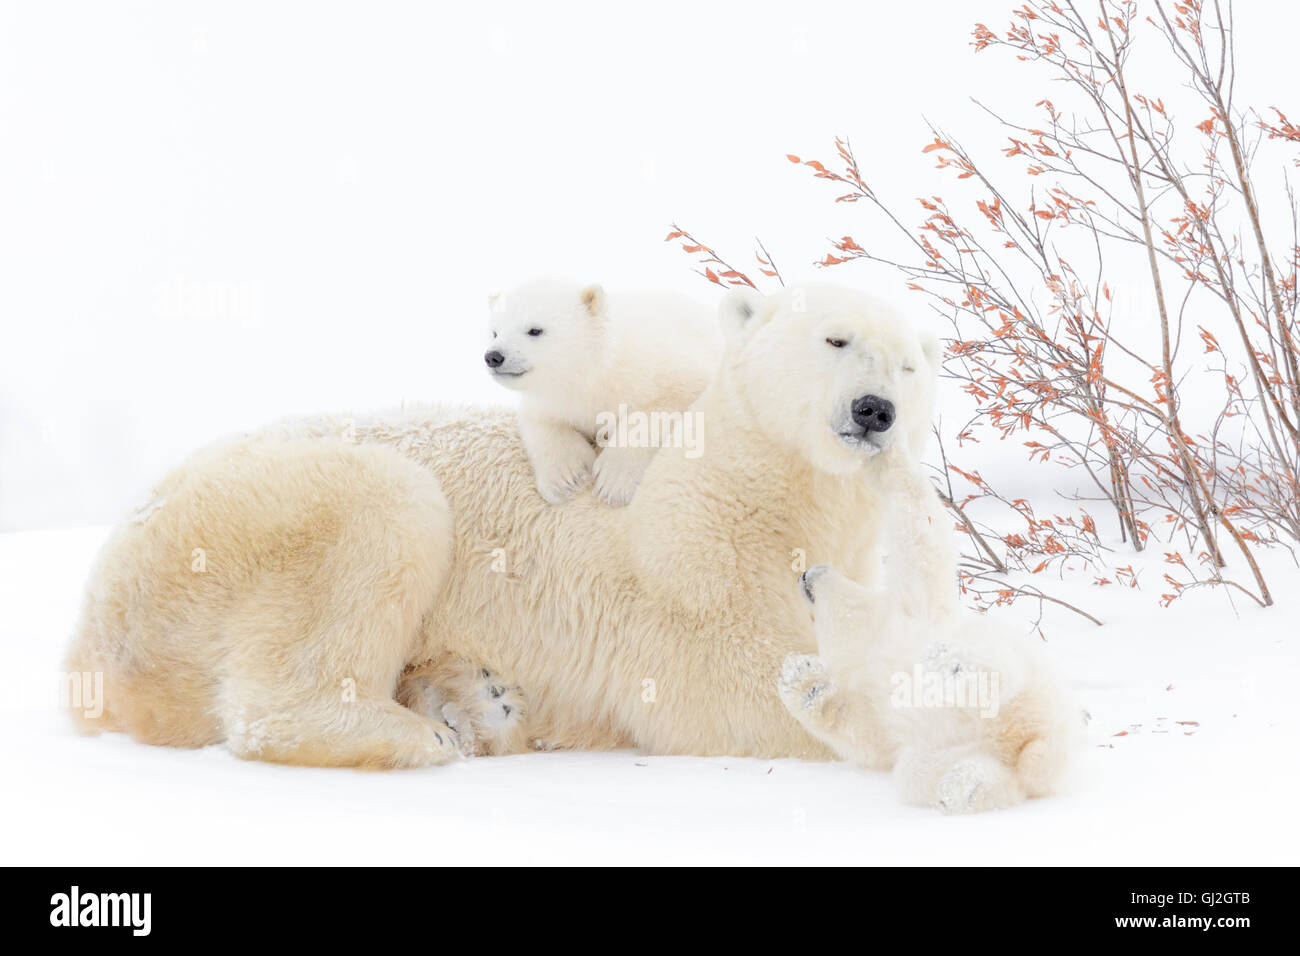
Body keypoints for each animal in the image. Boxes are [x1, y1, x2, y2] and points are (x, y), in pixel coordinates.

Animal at [483, 280, 722, 504]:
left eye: (535, 330)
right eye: (495, 332)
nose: (493, 356)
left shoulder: (653, 366)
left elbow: (670, 398)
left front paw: (613, 482)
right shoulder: (552, 398)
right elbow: (540, 423)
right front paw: (568, 478)